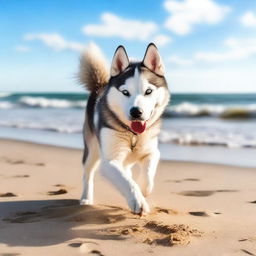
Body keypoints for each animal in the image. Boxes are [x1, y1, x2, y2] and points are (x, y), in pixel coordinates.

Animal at [79, 42, 169, 214]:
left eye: (148, 91)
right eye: (125, 92)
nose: (136, 112)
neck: (133, 135)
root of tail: (100, 86)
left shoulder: (152, 151)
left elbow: (147, 172)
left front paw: (143, 188)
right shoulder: (109, 161)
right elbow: (127, 182)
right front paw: (138, 200)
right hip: (92, 150)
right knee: (87, 174)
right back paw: (86, 198)